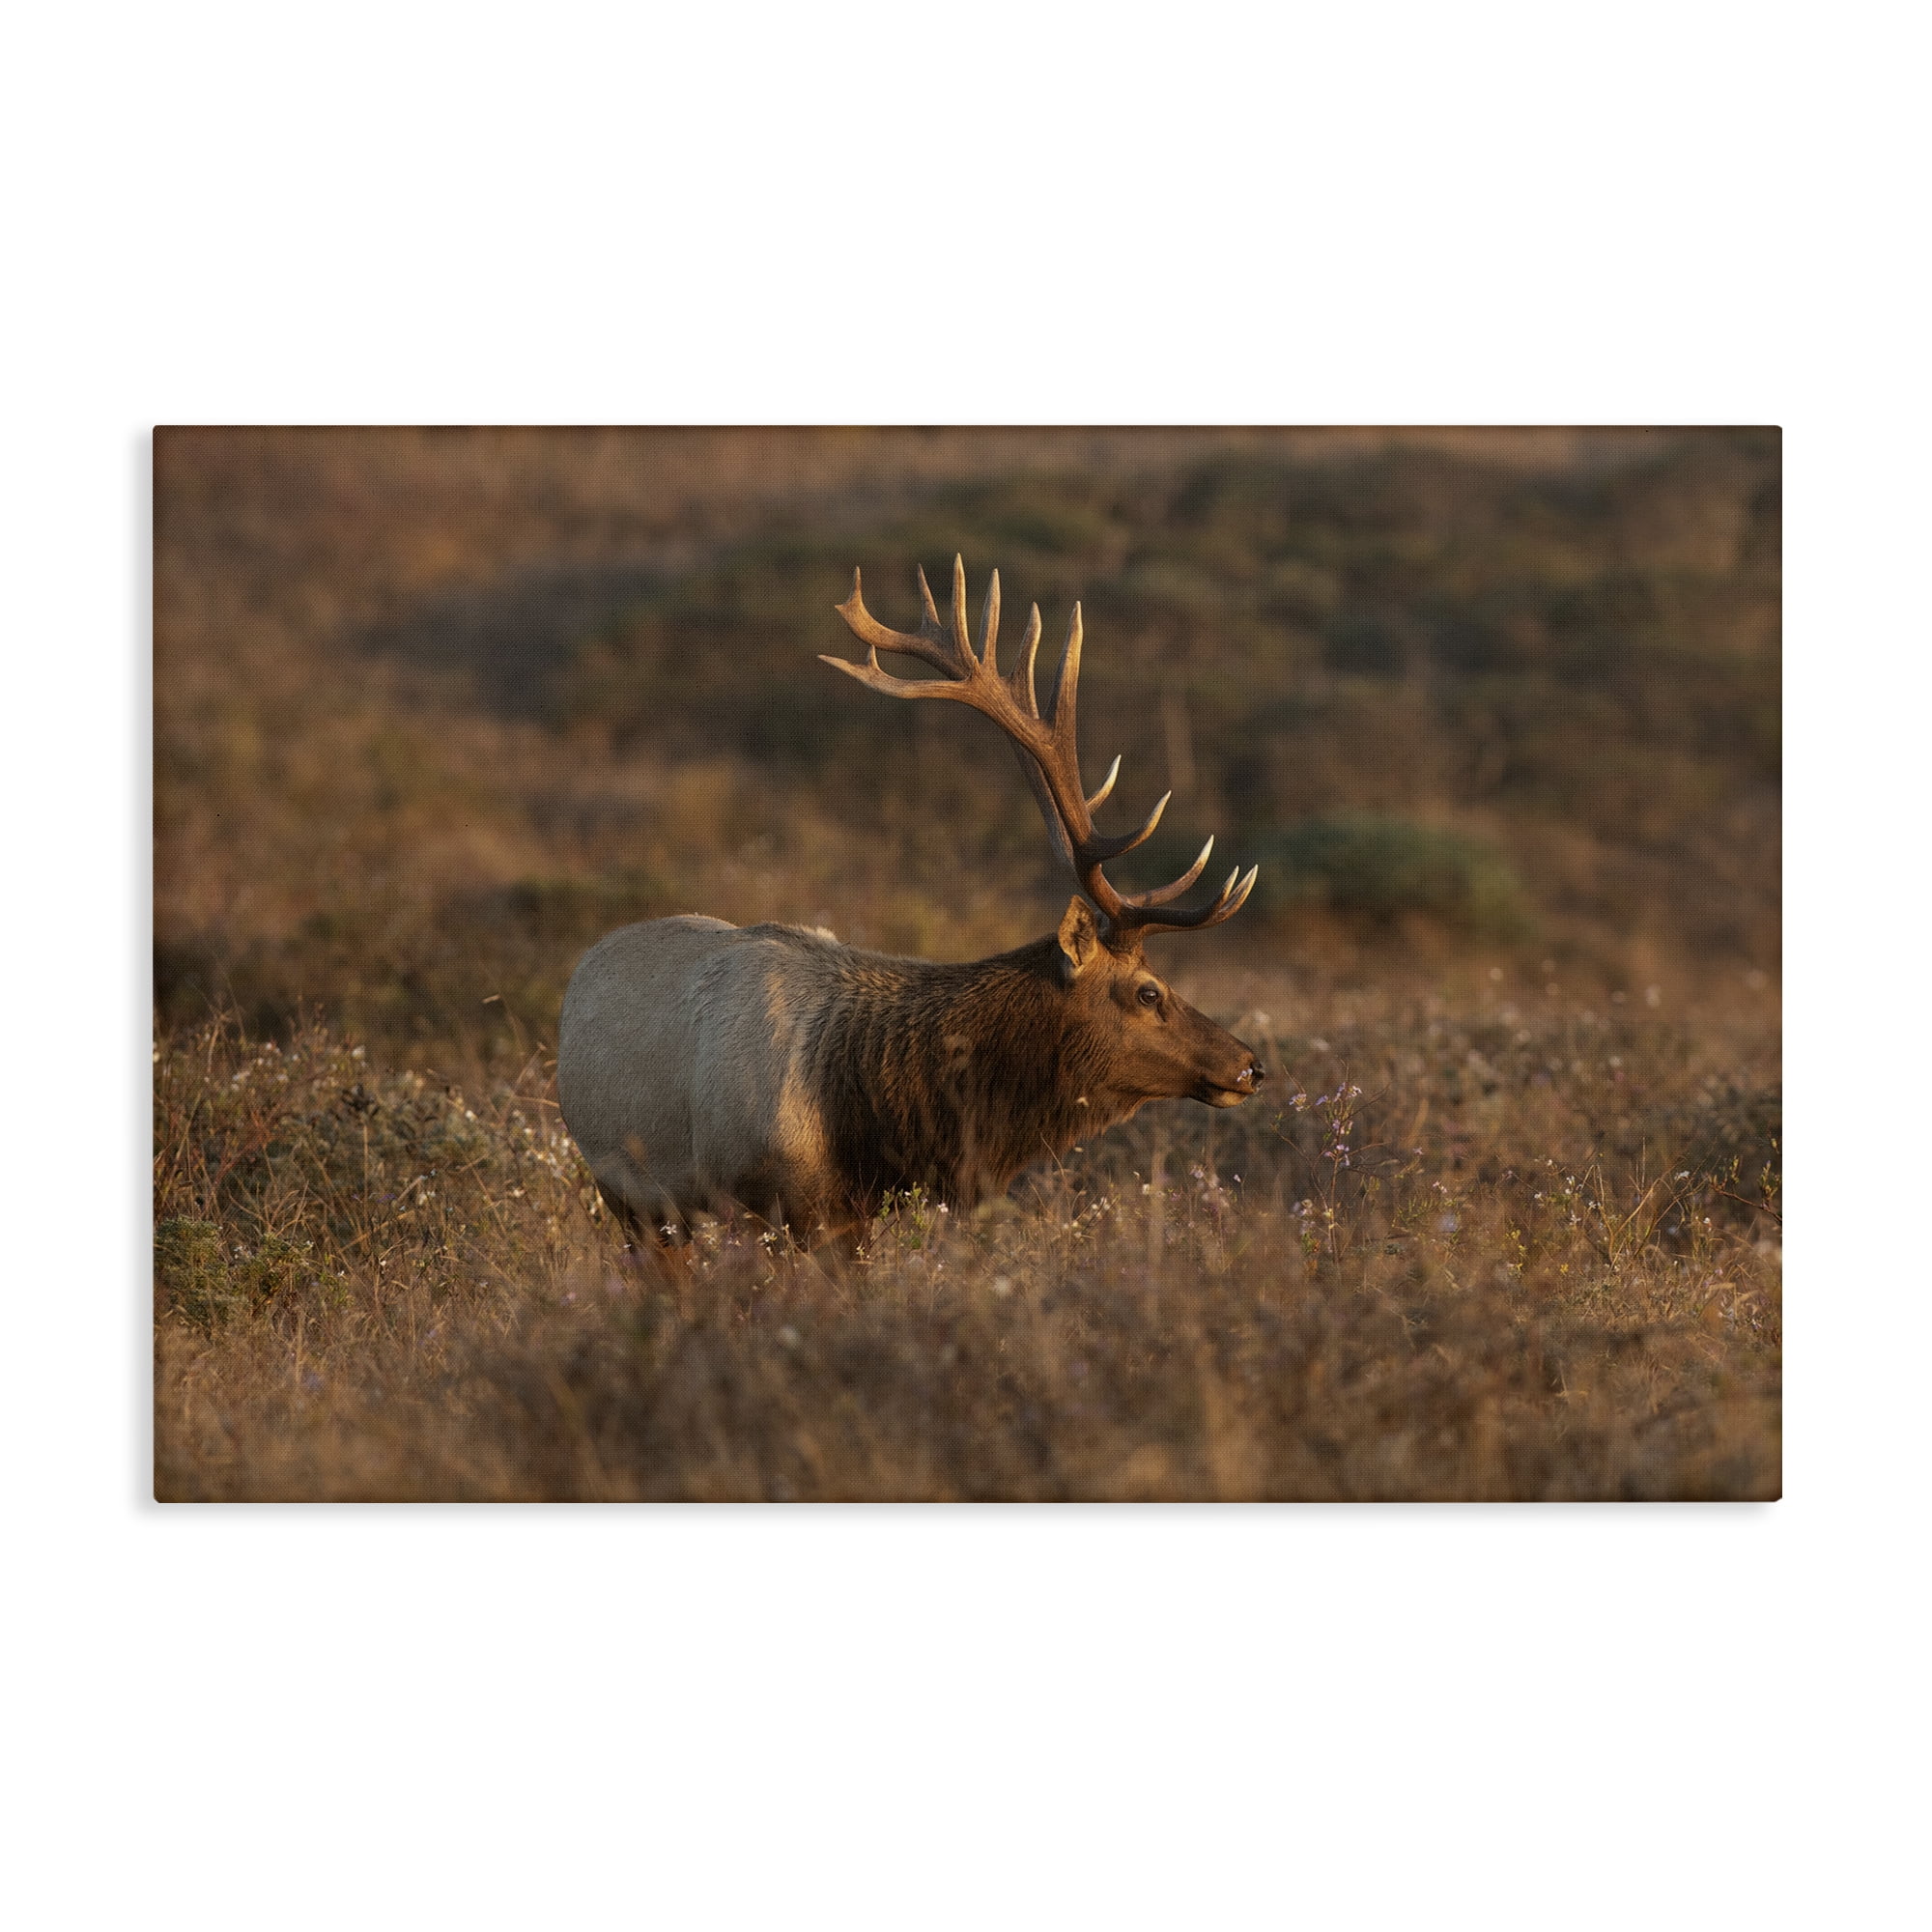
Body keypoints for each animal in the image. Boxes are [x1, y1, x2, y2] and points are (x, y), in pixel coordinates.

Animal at [557, 557, 1264, 1254]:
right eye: (1149, 991)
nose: (1251, 1066)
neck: (862, 1120)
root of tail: (583, 967)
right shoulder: (763, 1202)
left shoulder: (848, 1218)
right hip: (630, 1196)